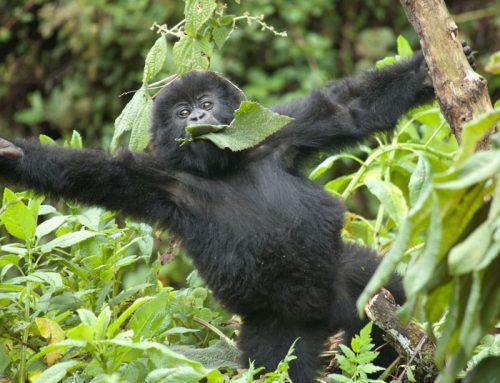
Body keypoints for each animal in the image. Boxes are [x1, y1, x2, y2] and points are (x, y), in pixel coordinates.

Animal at [0, 45, 474, 383]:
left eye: (207, 102)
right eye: (183, 113)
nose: (200, 115)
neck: (225, 166)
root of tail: (327, 316)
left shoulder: (280, 130)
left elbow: (347, 110)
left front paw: (424, 71)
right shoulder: (158, 181)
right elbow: (92, 175)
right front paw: (15, 156)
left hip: (350, 277)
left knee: (393, 291)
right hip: (278, 328)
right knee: (277, 369)